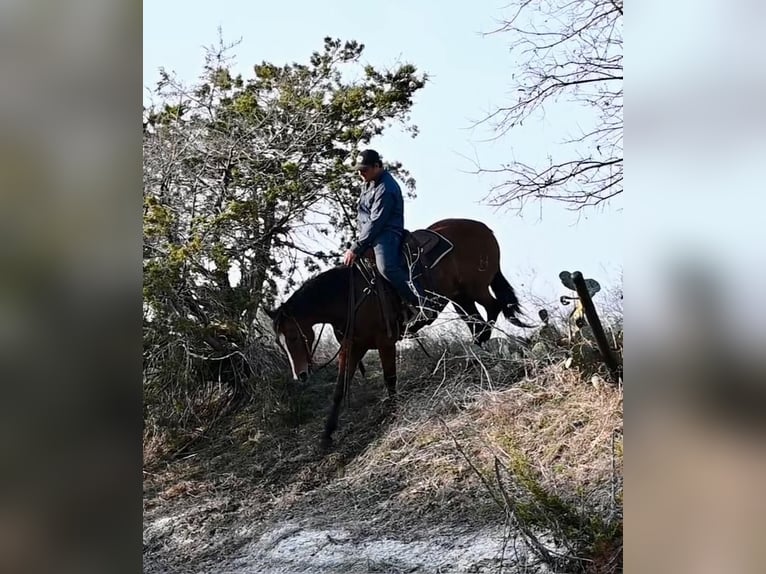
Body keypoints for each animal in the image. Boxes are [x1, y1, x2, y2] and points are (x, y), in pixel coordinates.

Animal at [268, 219, 532, 450]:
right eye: (280, 342)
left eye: (293, 336)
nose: (300, 375)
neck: (350, 297)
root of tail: (484, 228)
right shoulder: (353, 346)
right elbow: (340, 389)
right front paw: (326, 436)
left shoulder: (384, 341)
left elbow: (390, 379)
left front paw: (393, 413)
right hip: (460, 297)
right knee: (477, 321)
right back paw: (474, 357)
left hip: (475, 288)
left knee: (493, 309)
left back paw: (477, 352)